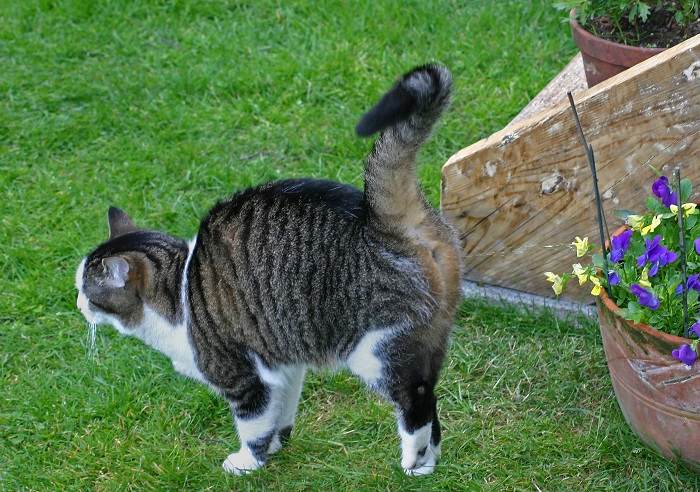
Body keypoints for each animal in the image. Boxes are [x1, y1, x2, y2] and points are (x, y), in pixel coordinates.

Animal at [75, 63, 464, 474]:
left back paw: (413, 459)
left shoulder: (244, 378)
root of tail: (381, 220)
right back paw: (429, 461)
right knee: (432, 395)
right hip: (430, 338)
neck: (177, 292)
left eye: (85, 289)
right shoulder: (283, 364)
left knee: (416, 398)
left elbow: (254, 425)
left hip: (376, 349)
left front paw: (247, 462)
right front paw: (278, 444)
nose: (78, 305)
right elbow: (282, 413)